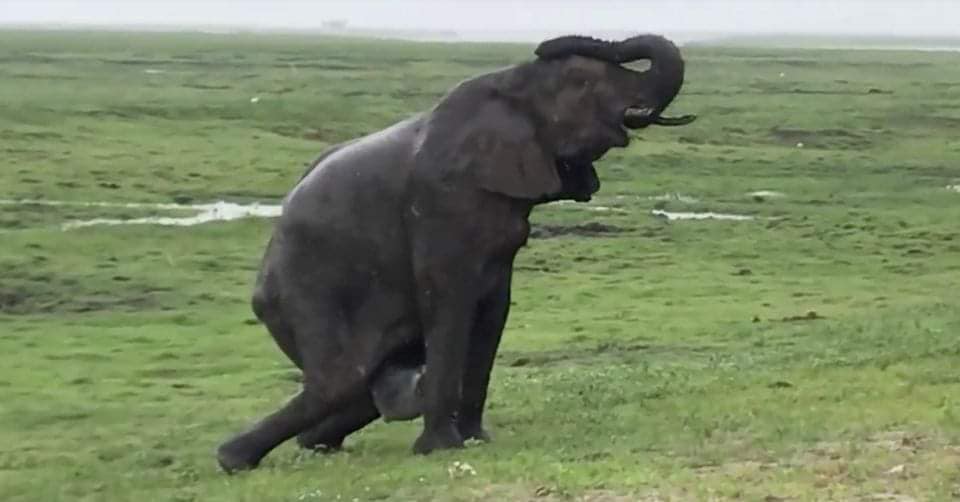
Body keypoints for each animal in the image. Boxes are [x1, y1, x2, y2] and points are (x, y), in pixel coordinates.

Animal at [216, 33, 696, 473]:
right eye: (582, 82)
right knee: (341, 379)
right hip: (303, 288)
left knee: (366, 390)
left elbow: (492, 313)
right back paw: (233, 459)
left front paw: (477, 439)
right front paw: (442, 449)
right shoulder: (439, 204)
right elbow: (449, 305)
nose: (544, 44)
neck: (510, 83)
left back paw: (315, 443)